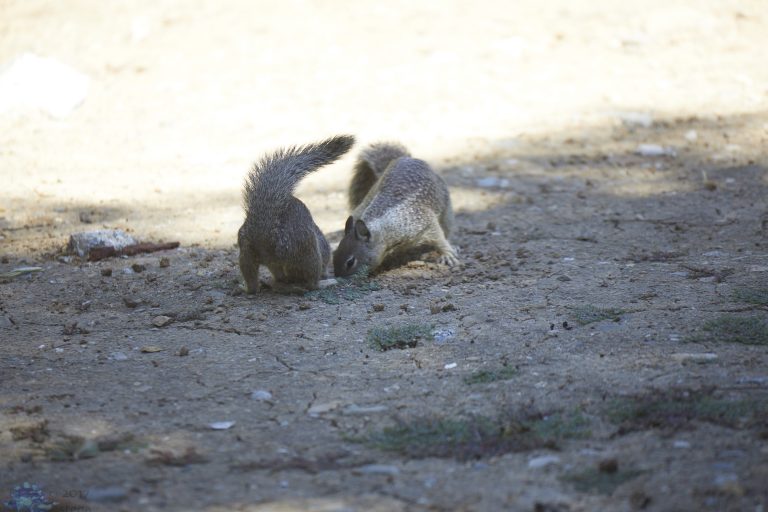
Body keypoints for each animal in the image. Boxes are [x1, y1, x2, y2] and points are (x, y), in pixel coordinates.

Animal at [238, 135, 355, 293]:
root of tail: (264, 235)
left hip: (246, 251)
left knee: (253, 281)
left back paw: (249, 287)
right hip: (307, 251)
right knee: (312, 284)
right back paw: (325, 283)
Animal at [333, 142, 459, 277]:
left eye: (350, 262)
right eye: (334, 255)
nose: (338, 276)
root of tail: (407, 158)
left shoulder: (423, 222)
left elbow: (439, 238)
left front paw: (447, 254)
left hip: (446, 204)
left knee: (447, 227)